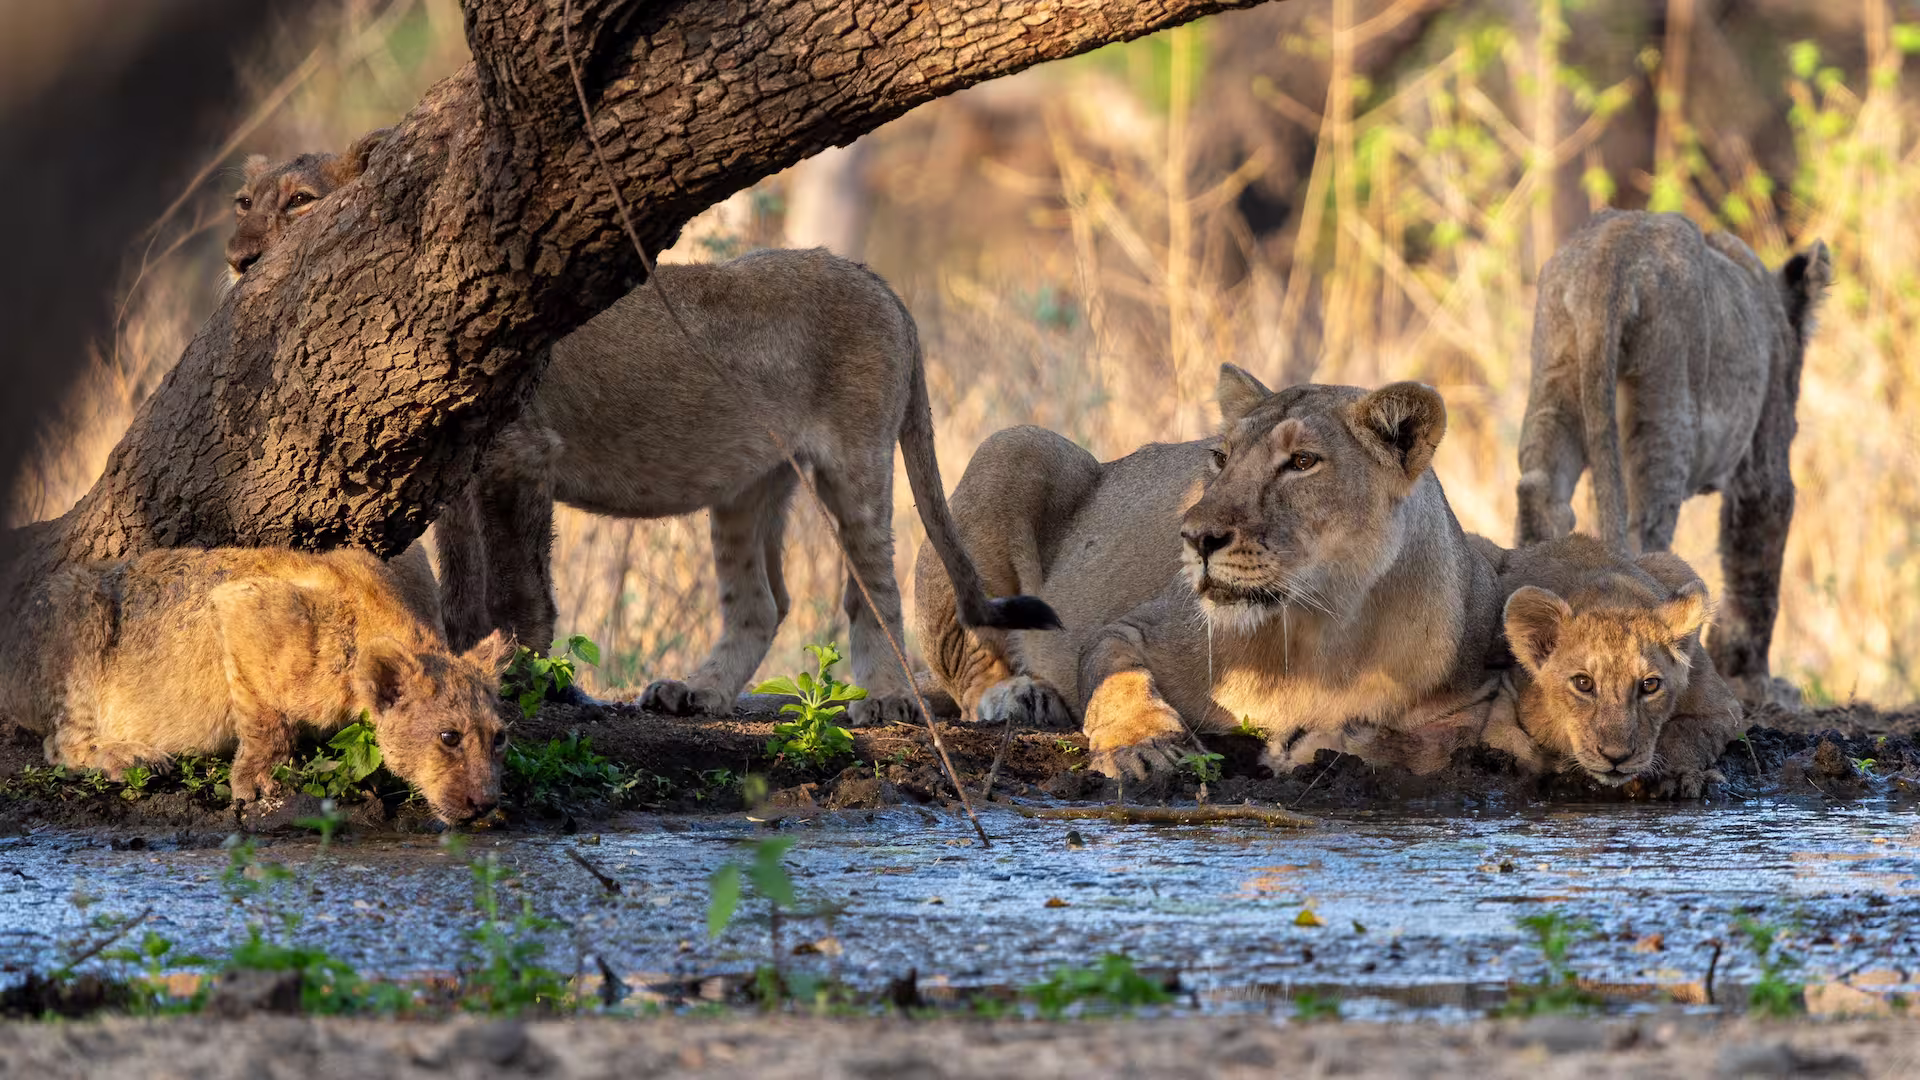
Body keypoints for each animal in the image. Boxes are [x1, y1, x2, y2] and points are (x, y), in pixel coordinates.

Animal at [1, 546, 514, 824]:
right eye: (449, 737)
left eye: (500, 739)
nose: (486, 803)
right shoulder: (241, 604)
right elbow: (267, 718)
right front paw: (259, 780)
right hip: (78, 603)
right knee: (59, 744)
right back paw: (131, 757)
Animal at [229, 145, 1058, 725]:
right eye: (241, 203)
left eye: (301, 204)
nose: (239, 260)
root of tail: (873, 274)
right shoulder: (458, 480)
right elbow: (463, 594)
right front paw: (461, 669)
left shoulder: (522, 457)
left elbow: (520, 590)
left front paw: (525, 683)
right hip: (749, 483)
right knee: (761, 602)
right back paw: (696, 693)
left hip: (854, 460)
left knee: (869, 589)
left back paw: (885, 699)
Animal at [914, 366, 1505, 780]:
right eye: (1220, 458)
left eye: (1302, 462)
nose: (1196, 537)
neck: (1325, 628)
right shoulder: (1133, 627)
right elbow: (1118, 679)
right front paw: (1146, 747)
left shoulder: (1473, 687)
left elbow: (1431, 743)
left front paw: (1316, 745)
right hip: (1012, 445)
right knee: (969, 670)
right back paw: (1020, 697)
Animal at [1478, 534, 1746, 798]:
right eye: (1583, 683)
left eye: (1650, 685)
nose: (1616, 757)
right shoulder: (1505, 694)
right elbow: (1507, 738)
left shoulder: (1723, 709)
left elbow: (1686, 732)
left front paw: (1679, 775)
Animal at [1513, 210, 1832, 705]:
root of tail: (1612, 248)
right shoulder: (1764, 447)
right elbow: (1757, 556)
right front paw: (1753, 681)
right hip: (1666, 404)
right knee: (1644, 528)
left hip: (1556, 373)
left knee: (1539, 490)